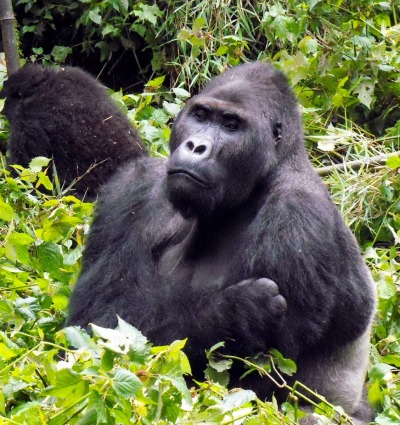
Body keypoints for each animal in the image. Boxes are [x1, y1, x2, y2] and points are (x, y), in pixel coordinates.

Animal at [67, 61, 376, 422]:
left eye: (231, 126)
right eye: (200, 116)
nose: (196, 146)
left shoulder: (298, 221)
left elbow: (253, 384)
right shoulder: (132, 186)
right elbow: (96, 320)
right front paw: (235, 312)